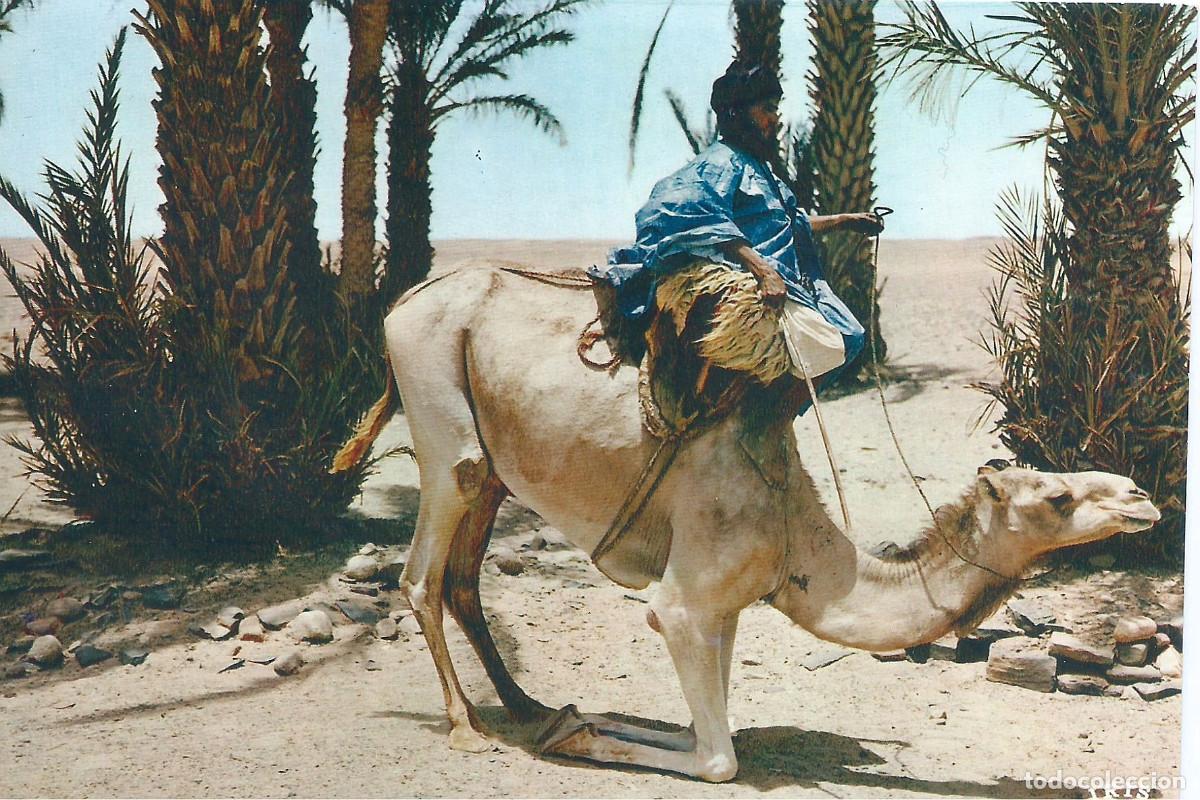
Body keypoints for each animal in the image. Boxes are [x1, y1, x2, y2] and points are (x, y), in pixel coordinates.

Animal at [332, 266, 1161, 783]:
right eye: (1056, 497)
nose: (1140, 497)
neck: (795, 534)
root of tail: (402, 304)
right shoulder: (683, 601)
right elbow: (719, 758)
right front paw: (584, 731)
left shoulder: (724, 607)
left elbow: (703, 726)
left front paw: (573, 720)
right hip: (445, 423)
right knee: (423, 571)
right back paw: (466, 726)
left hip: (499, 466)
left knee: (464, 579)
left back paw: (528, 705)